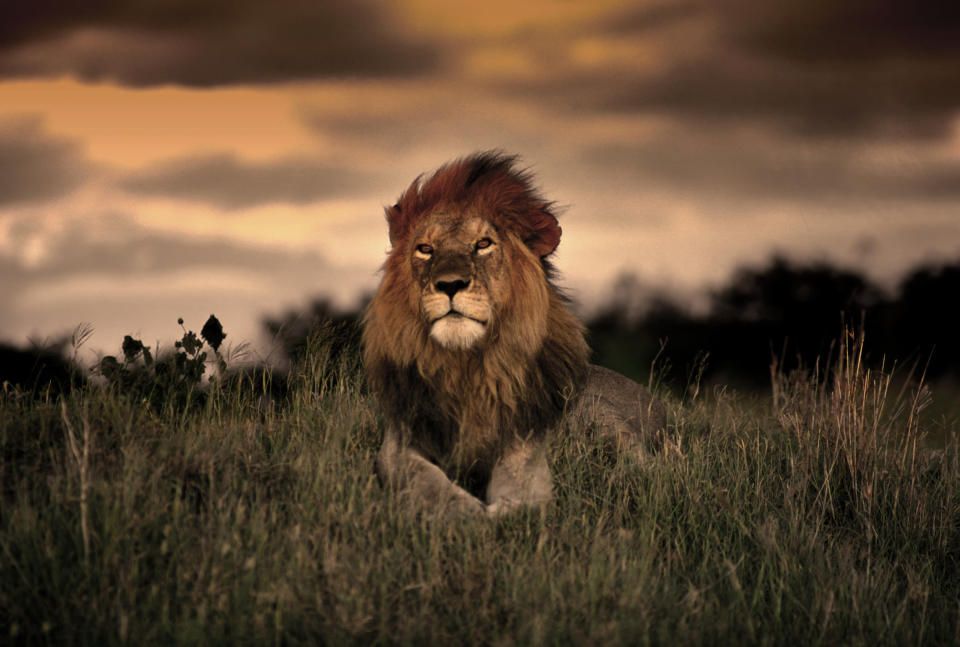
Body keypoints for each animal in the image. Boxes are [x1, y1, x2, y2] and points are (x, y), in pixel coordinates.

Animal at [362, 151, 668, 516]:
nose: (450, 284)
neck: (467, 368)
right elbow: (424, 481)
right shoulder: (400, 442)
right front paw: (465, 512)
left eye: (483, 244)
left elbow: (521, 484)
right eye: (425, 249)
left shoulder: (526, 442)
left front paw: (510, 511)